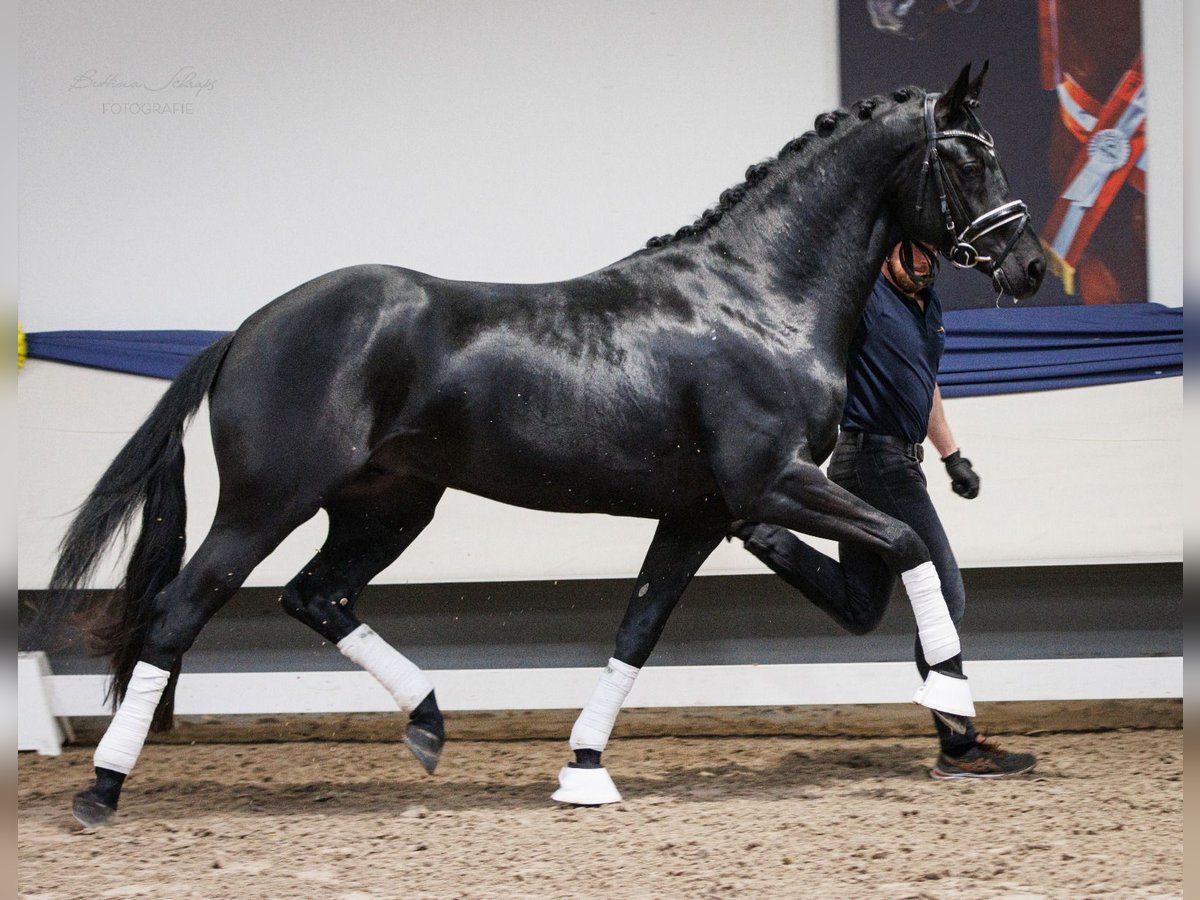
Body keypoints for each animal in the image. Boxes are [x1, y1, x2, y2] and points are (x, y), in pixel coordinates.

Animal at [56, 61, 1041, 825]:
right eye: (971, 157)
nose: (1029, 266)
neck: (756, 299)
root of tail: (246, 330)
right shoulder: (773, 483)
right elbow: (909, 540)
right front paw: (952, 701)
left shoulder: (697, 515)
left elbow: (638, 628)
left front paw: (584, 771)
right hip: (267, 504)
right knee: (178, 611)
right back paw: (101, 789)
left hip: (389, 505)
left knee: (316, 595)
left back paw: (427, 721)